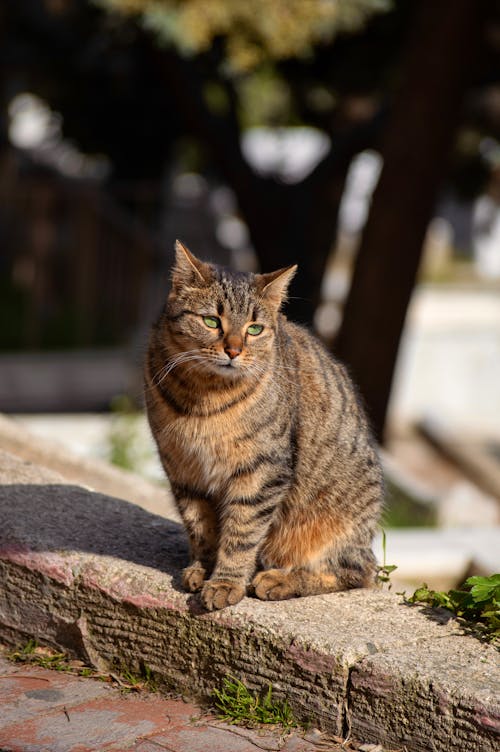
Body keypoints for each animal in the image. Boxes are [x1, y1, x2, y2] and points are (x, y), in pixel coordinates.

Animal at [145, 241, 382, 612]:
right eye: (211, 321)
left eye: (254, 329)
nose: (233, 350)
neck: (203, 395)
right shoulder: (183, 469)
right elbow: (200, 527)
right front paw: (203, 567)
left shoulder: (262, 471)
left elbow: (241, 534)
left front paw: (225, 582)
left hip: (336, 523)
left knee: (358, 571)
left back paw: (279, 579)